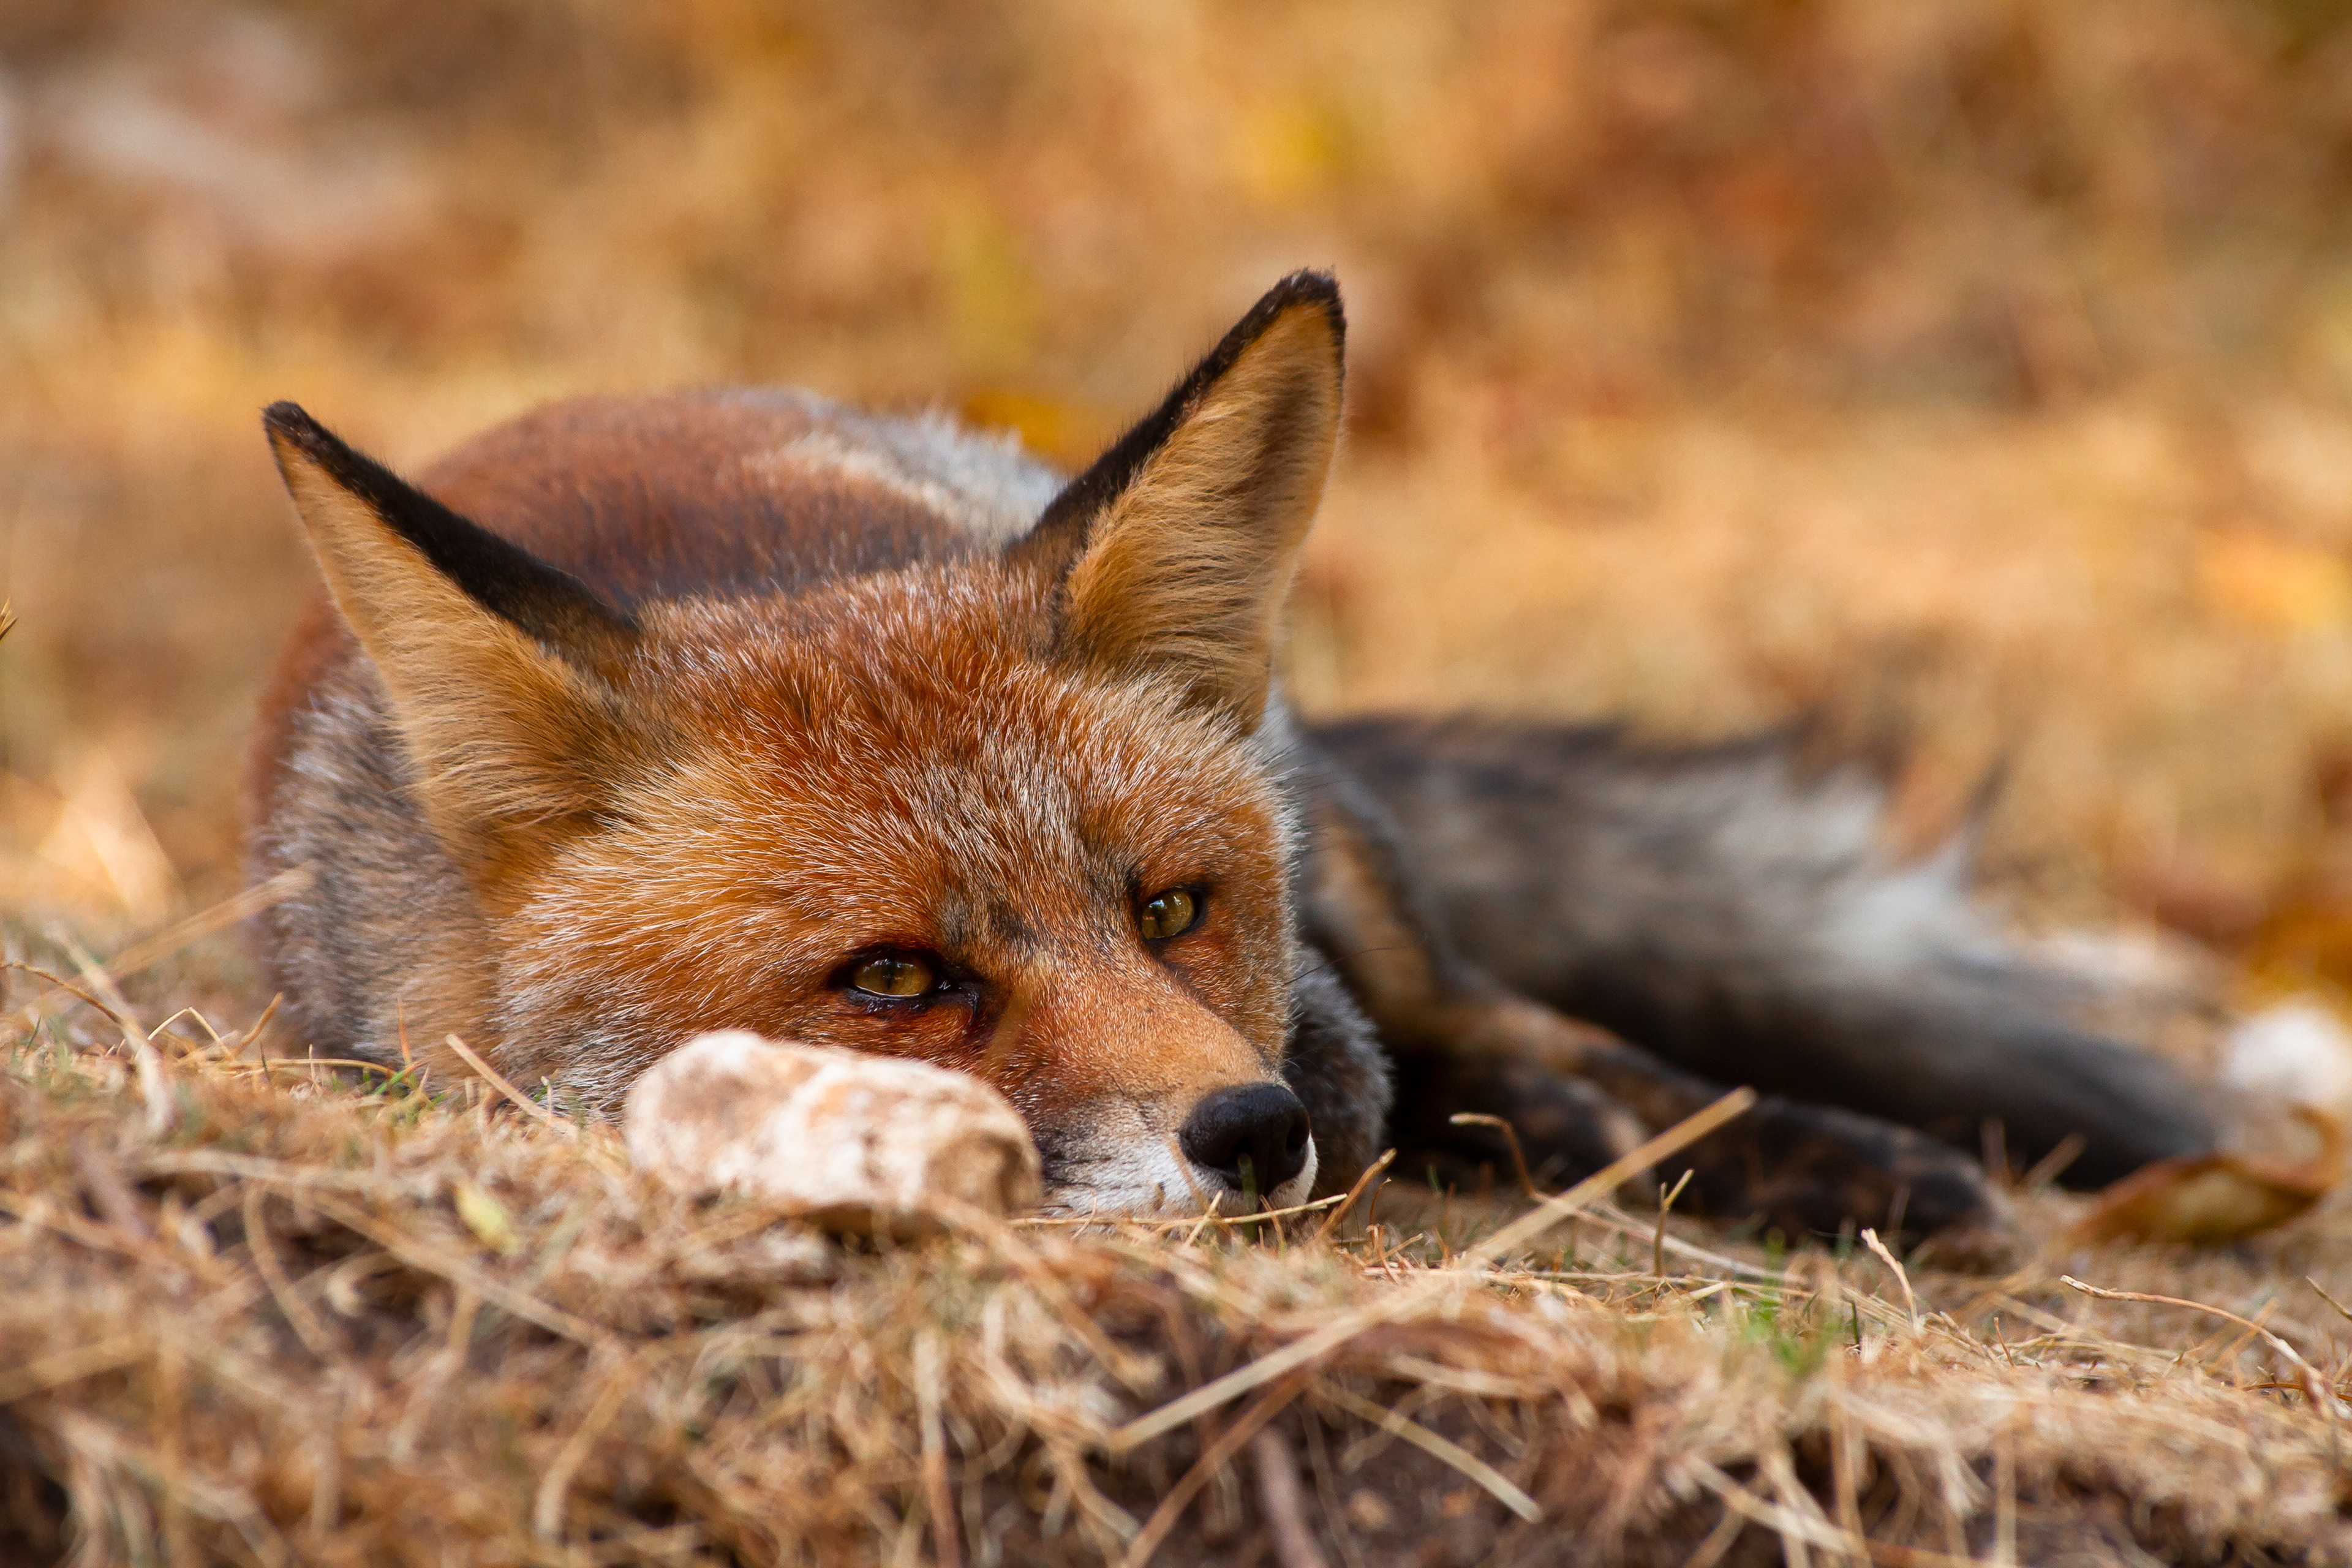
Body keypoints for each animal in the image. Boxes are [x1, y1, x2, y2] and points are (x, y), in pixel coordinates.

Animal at [246, 271, 2220, 1242]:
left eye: (1172, 907)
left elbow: (1397, 1059)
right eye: (891, 979)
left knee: (1538, 1027)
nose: (1249, 1128)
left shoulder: (1323, 995)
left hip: (1353, 850)